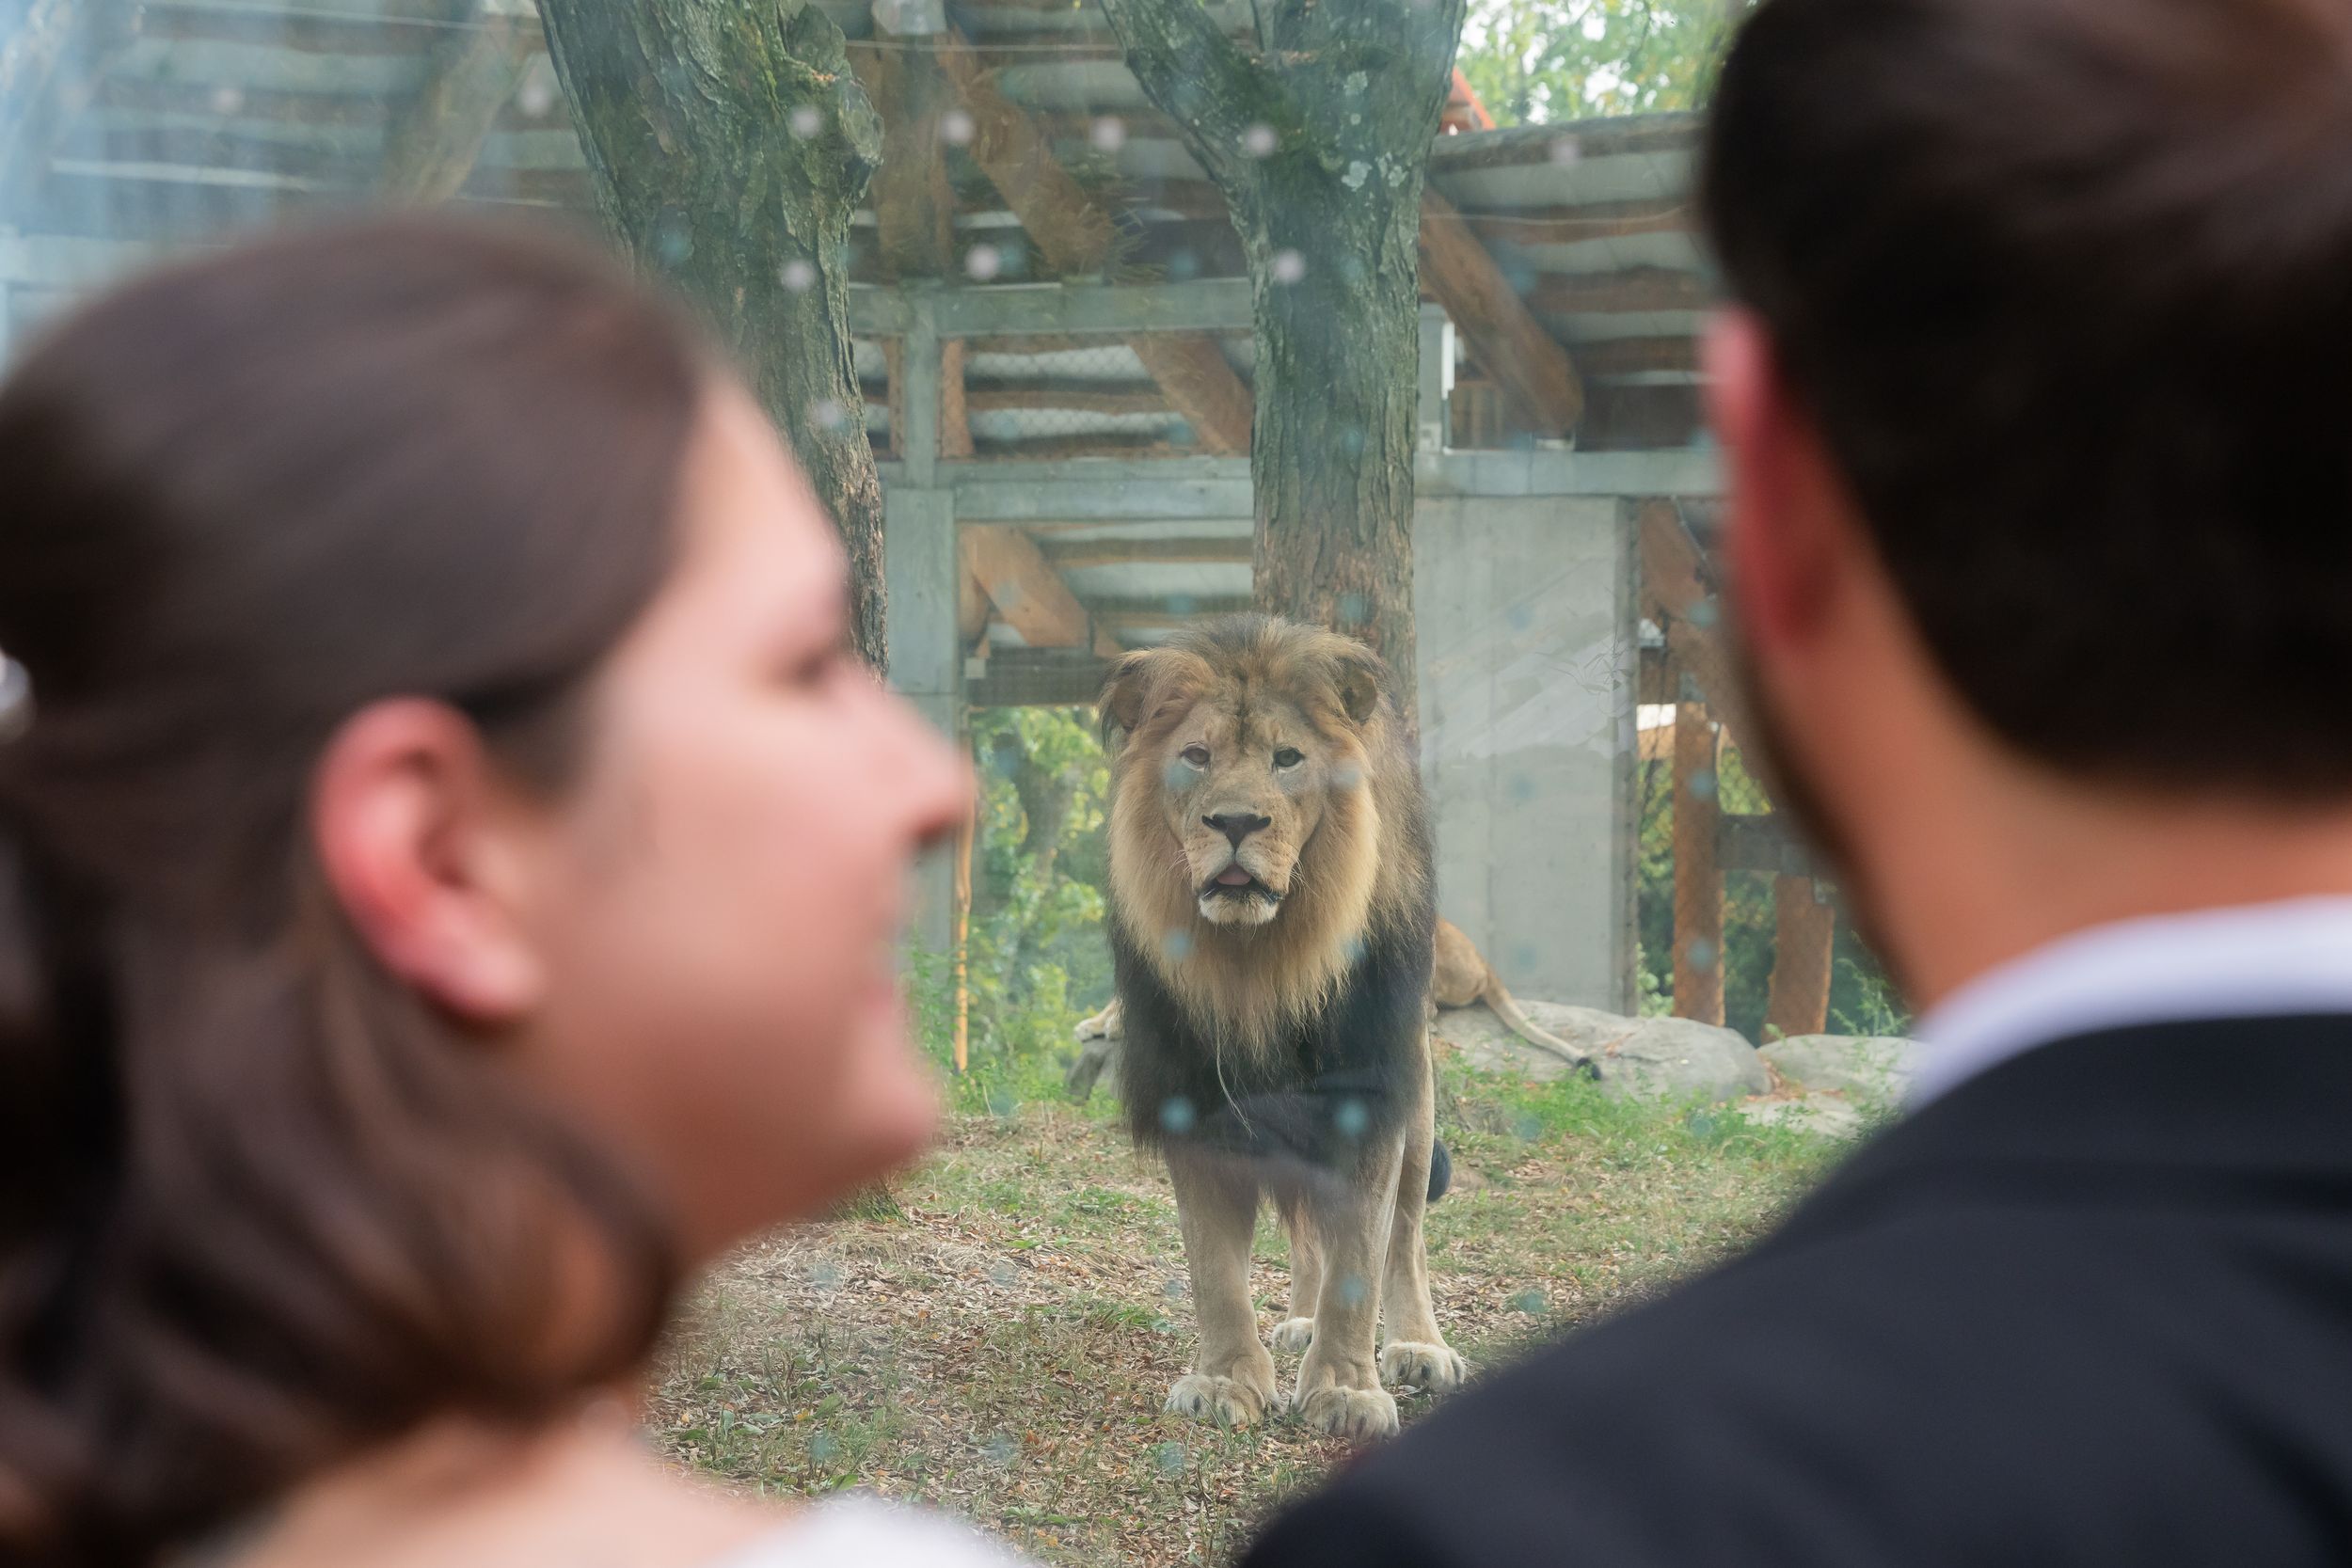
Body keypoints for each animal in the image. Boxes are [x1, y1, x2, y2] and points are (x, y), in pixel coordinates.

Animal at [1096, 613, 1463, 1441]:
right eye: (1196, 757)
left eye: (1287, 758)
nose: (1235, 821)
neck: (1256, 962)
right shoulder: (1194, 1097)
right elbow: (1214, 1268)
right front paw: (1225, 1380)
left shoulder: (1365, 1090)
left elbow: (1361, 1252)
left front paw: (1346, 1388)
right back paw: (1297, 1322)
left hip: (1415, 1092)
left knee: (1405, 1237)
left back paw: (1419, 1346)